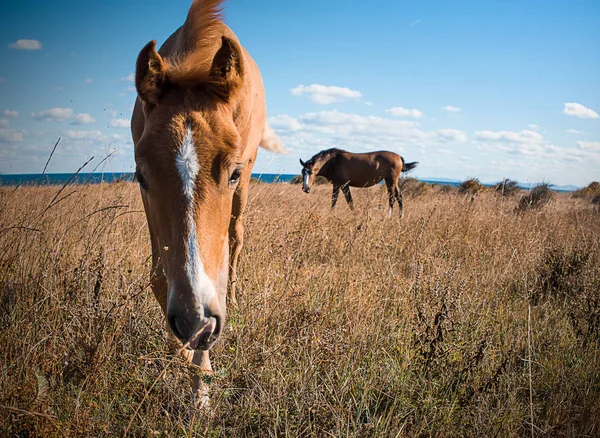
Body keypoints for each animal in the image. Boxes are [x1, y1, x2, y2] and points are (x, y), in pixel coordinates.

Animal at [131, 0, 284, 406]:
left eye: (232, 173)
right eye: (141, 176)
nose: (195, 322)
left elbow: (218, 264)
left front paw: (201, 386)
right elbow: (159, 276)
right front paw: (188, 363)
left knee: (235, 239)